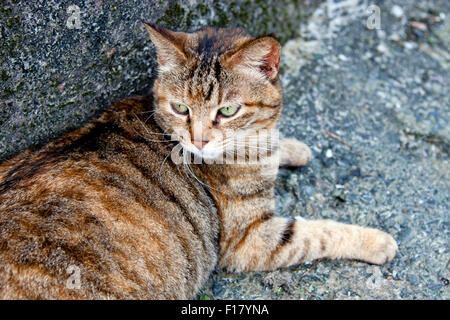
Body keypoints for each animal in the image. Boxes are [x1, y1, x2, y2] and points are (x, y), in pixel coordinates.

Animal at [0, 23, 398, 298]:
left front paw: (293, 147)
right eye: (181, 108)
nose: (199, 140)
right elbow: (319, 233)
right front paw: (377, 242)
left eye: (228, 110)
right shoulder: (250, 240)